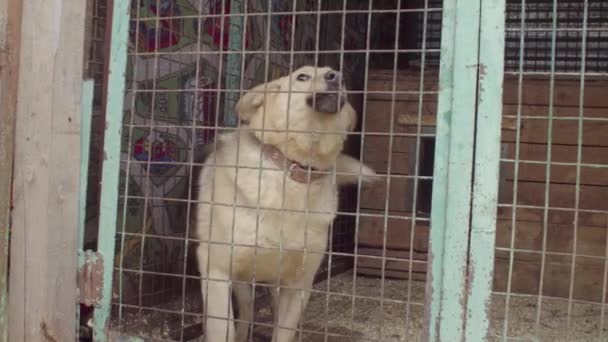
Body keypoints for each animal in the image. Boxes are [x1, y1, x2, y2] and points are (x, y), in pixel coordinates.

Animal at [195, 66, 376, 342]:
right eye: (302, 76)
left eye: (339, 76)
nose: (337, 76)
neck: (294, 172)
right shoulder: (217, 270)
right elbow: (221, 329)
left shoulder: (299, 284)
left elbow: (283, 331)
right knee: (246, 308)